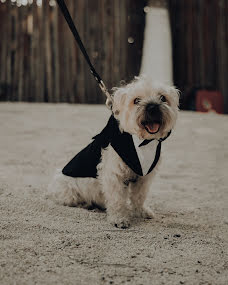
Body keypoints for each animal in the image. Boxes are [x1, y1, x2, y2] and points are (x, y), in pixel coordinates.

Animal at [48, 76, 179, 227]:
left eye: (163, 98)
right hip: (68, 189)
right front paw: (119, 219)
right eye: (136, 100)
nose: (152, 107)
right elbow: (117, 199)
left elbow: (139, 197)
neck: (141, 141)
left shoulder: (144, 178)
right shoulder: (114, 175)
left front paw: (140, 211)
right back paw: (85, 204)